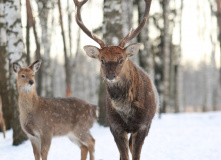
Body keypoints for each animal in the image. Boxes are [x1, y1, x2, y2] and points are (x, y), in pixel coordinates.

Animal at [73, 0, 159, 160]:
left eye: (121, 60)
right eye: (102, 60)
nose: (110, 76)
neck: (127, 112)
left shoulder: (143, 125)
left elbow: (135, 155)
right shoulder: (115, 126)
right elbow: (124, 155)